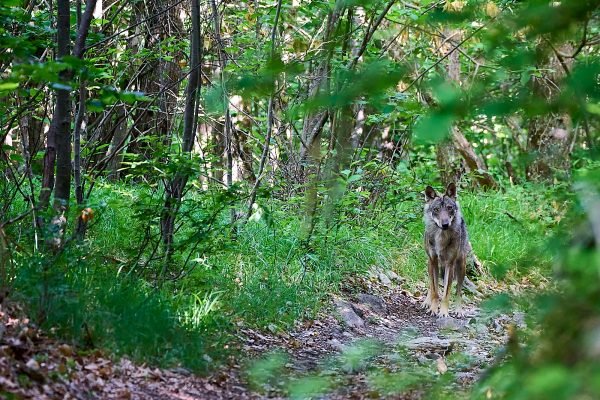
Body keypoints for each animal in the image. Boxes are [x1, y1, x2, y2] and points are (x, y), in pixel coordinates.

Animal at [422, 183, 468, 318]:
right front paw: (432, 308)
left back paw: (458, 310)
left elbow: (446, 293)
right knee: (431, 286)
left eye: (449, 208)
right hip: (430, 264)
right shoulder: (433, 261)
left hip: (461, 266)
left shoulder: (450, 264)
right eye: (436, 209)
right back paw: (426, 302)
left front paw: (443, 312)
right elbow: (435, 291)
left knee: (458, 291)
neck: (441, 236)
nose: (445, 224)